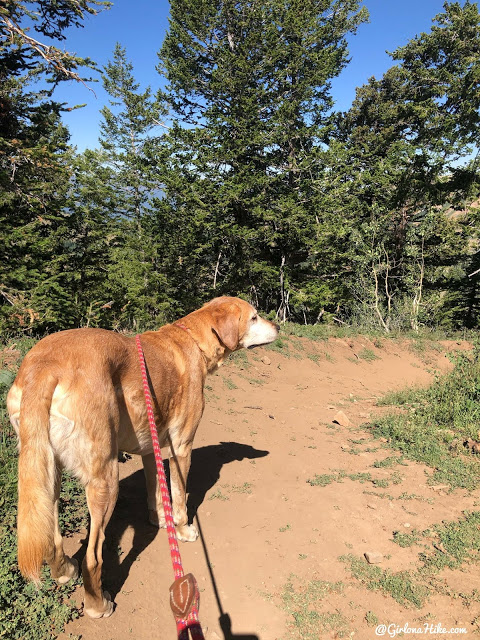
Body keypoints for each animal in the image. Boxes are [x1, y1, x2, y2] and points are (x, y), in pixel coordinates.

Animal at [6, 298, 278, 616]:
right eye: (255, 317)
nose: (278, 326)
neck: (193, 338)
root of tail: (44, 365)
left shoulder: (151, 449)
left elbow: (155, 491)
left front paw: (158, 517)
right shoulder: (181, 447)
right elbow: (179, 498)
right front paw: (182, 530)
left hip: (48, 475)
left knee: (52, 537)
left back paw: (64, 571)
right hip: (106, 480)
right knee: (93, 557)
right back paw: (98, 605)